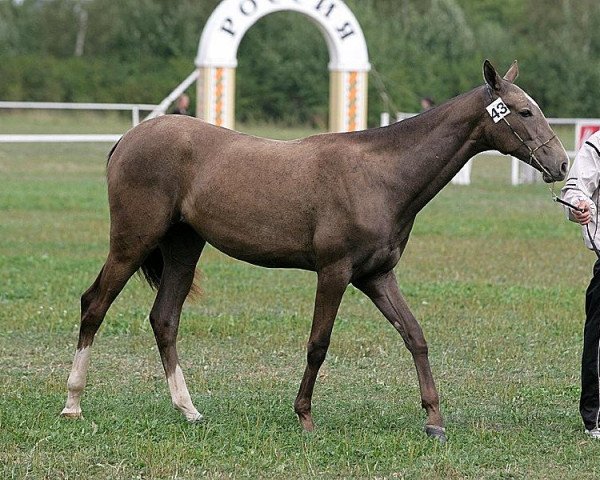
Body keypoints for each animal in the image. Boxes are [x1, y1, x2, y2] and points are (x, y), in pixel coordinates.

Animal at [59, 61, 568, 442]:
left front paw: (434, 420)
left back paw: (189, 410)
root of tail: (127, 139)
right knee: (94, 305)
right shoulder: (335, 272)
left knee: (164, 319)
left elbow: (415, 337)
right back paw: (73, 403)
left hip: (183, 248)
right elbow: (318, 345)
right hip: (132, 242)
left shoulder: (376, 276)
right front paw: (304, 416)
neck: (380, 175)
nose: (561, 164)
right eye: (524, 112)